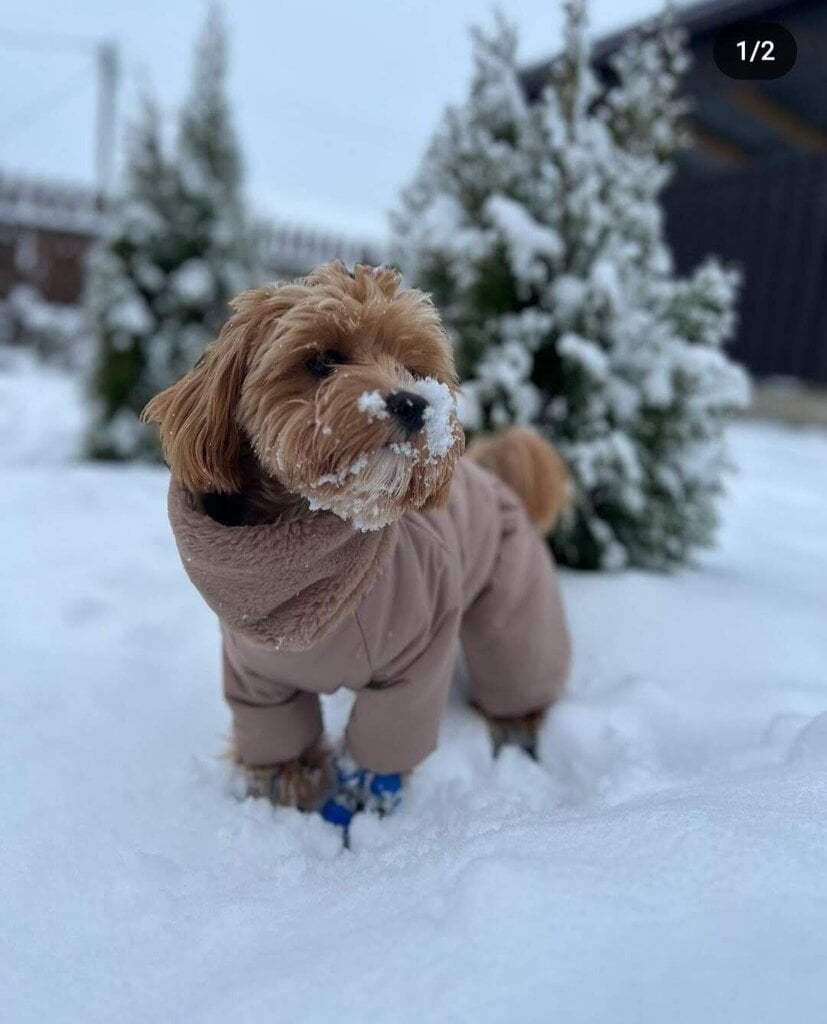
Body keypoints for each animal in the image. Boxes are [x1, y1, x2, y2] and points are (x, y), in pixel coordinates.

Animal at [143, 262, 569, 823]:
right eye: (322, 360)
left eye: (412, 367)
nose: (413, 402)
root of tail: (494, 476)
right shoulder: (258, 681)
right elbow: (281, 740)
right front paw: (293, 792)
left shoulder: (417, 658)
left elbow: (388, 737)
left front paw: (368, 799)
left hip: (513, 595)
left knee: (516, 659)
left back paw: (516, 728)